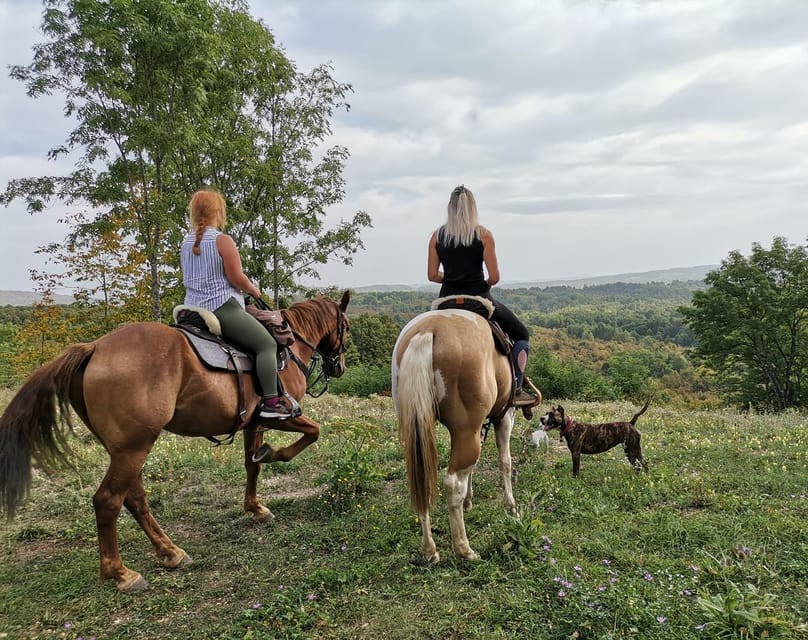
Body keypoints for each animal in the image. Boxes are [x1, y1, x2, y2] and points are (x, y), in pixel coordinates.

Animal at [0, 290, 348, 592]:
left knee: (134, 498)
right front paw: (273, 453)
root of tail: (94, 348)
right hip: (134, 447)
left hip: (126, 450)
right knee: (108, 501)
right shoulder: (280, 416)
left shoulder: (253, 423)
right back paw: (121, 573)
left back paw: (170, 552)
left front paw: (255, 506)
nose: (340, 367)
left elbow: (253, 466)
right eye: (345, 327)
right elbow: (311, 433)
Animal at [392, 302, 540, 564]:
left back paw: (429, 550)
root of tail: (427, 330)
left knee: (422, 480)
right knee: (452, 483)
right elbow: (505, 462)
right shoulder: (504, 416)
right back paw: (463, 548)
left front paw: (469, 501)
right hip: (466, 429)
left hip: (420, 428)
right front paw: (511, 508)